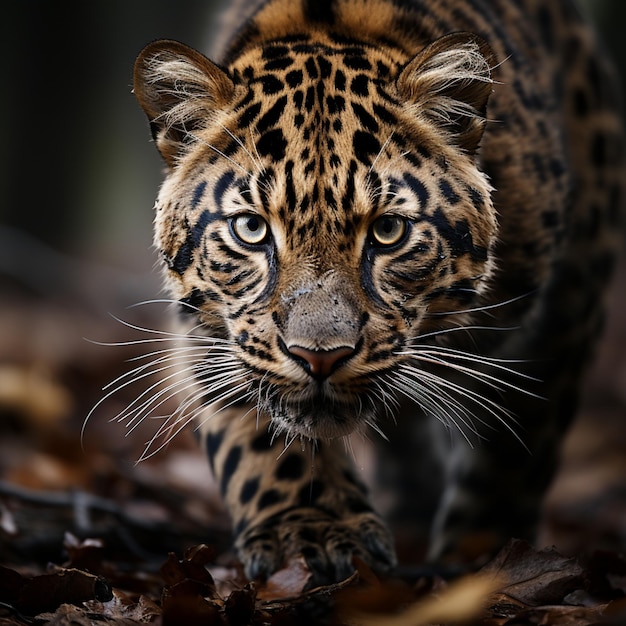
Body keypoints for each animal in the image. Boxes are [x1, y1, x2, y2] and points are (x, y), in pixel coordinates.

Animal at [129, 0, 620, 584]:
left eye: (388, 231)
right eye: (251, 228)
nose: (320, 358)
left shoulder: (557, 318)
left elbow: (513, 452)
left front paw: (481, 560)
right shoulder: (209, 328)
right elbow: (257, 434)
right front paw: (314, 529)